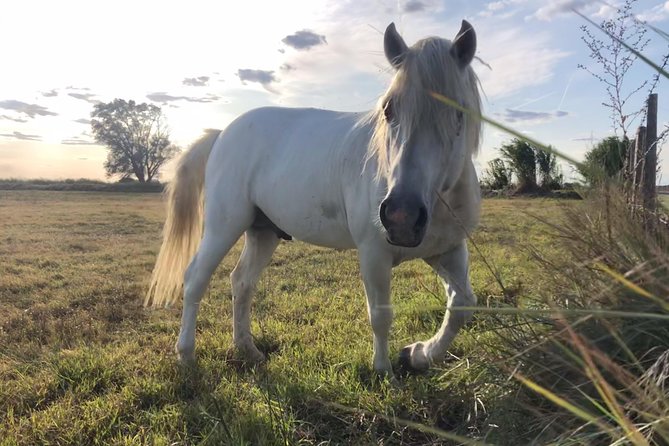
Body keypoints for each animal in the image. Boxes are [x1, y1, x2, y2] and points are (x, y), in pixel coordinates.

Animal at [146, 20, 482, 379]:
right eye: (388, 109)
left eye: (459, 112)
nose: (400, 217)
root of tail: (222, 133)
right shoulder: (374, 254)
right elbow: (380, 315)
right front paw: (384, 372)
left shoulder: (447, 250)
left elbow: (462, 304)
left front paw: (418, 354)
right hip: (224, 227)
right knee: (196, 278)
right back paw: (186, 355)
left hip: (263, 231)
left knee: (242, 282)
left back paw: (247, 349)